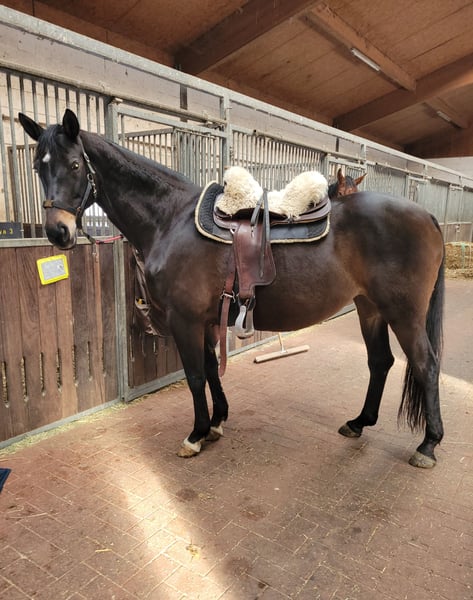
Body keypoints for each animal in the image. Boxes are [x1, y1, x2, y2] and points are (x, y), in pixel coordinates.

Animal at [19, 109, 445, 468]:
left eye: (75, 165)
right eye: (39, 167)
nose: (58, 232)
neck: (171, 220)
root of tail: (426, 215)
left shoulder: (185, 320)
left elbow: (194, 375)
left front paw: (195, 434)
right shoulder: (207, 319)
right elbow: (211, 369)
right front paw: (217, 423)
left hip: (404, 314)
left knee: (426, 364)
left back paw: (428, 445)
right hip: (369, 307)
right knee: (380, 362)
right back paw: (359, 422)